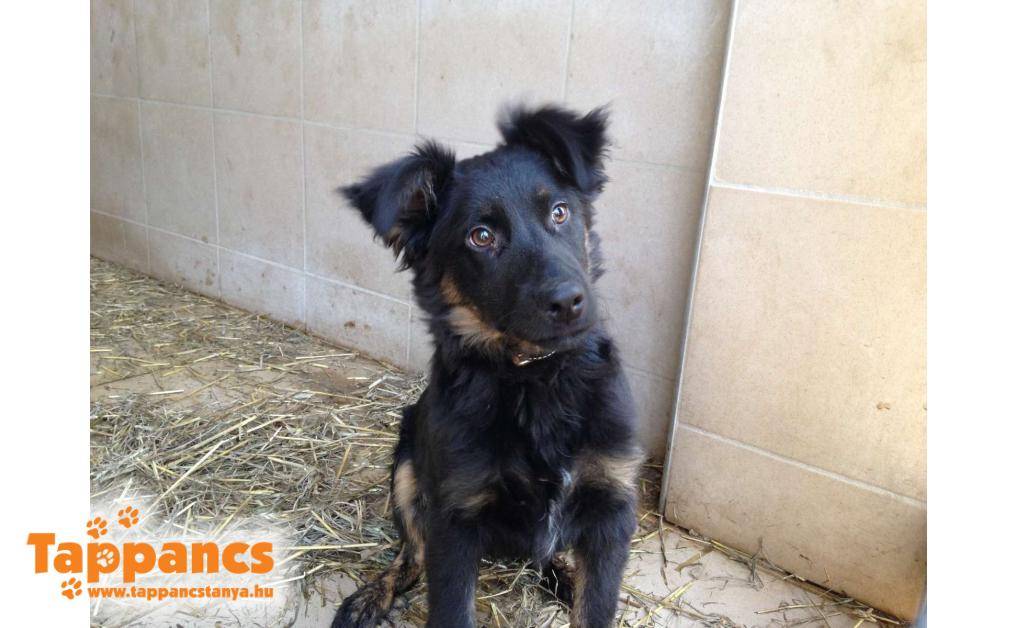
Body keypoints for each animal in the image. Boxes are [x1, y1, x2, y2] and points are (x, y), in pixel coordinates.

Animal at [331, 104, 642, 628]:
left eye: (560, 212)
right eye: (481, 237)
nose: (569, 302)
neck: (536, 377)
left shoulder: (611, 505)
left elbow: (594, 607)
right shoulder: (456, 517)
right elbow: (449, 604)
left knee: (542, 554)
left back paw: (560, 573)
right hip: (407, 465)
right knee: (410, 554)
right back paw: (372, 596)